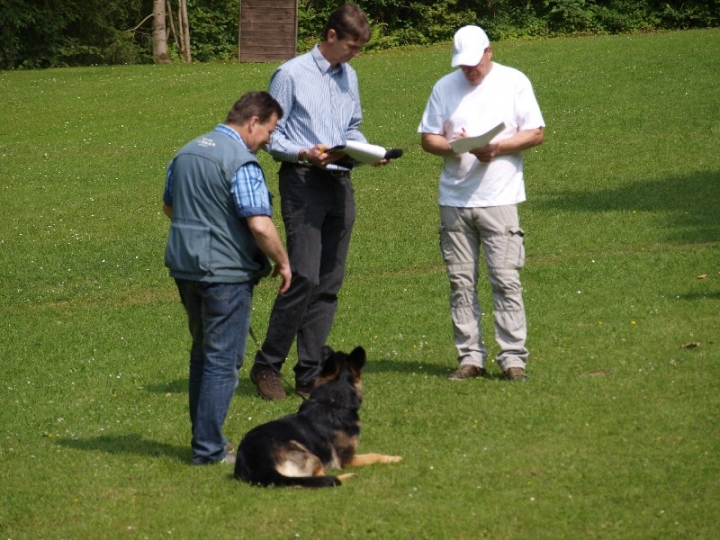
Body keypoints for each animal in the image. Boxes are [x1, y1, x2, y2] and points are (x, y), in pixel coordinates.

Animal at [236, 346, 404, 490]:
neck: (332, 403)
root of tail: (260, 467)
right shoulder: (348, 459)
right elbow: (374, 455)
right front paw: (394, 458)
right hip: (308, 454)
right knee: (323, 478)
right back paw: (349, 476)